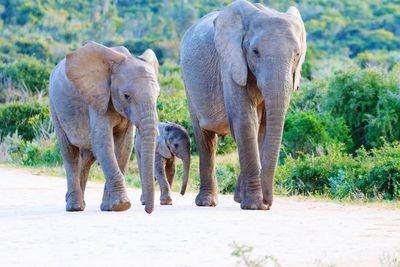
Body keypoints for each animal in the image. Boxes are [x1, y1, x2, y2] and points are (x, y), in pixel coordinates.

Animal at [50, 42, 161, 214]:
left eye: (158, 96)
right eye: (126, 96)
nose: (148, 210)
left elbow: (124, 146)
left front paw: (110, 208)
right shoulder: (97, 98)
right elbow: (103, 142)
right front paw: (122, 205)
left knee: (87, 157)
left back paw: (79, 204)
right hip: (55, 107)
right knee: (69, 152)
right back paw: (74, 207)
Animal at [180, 0, 306, 210]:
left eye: (297, 54)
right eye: (255, 52)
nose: (268, 202)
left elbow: (264, 127)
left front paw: (251, 202)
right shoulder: (230, 62)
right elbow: (246, 122)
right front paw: (254, 205)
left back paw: (237, 198)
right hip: (189, 85)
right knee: (204, 136)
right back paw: (206, 202)